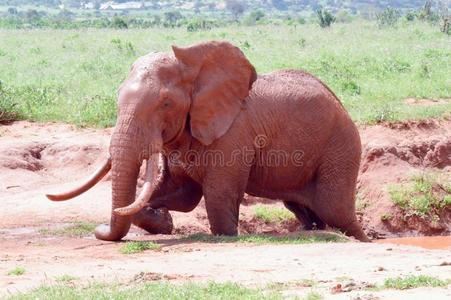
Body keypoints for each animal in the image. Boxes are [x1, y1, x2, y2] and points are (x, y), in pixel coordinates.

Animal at [46, 39, 370, 243]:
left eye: (165, 104)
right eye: (117, 98)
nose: (100, 227)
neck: (193, 69)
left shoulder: (233, 136)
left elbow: (216, 198)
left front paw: (225, 235)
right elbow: (181, 193)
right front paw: (162, 221)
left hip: (341, 147)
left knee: (336, 210)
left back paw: (361, 239)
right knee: (308, 210)